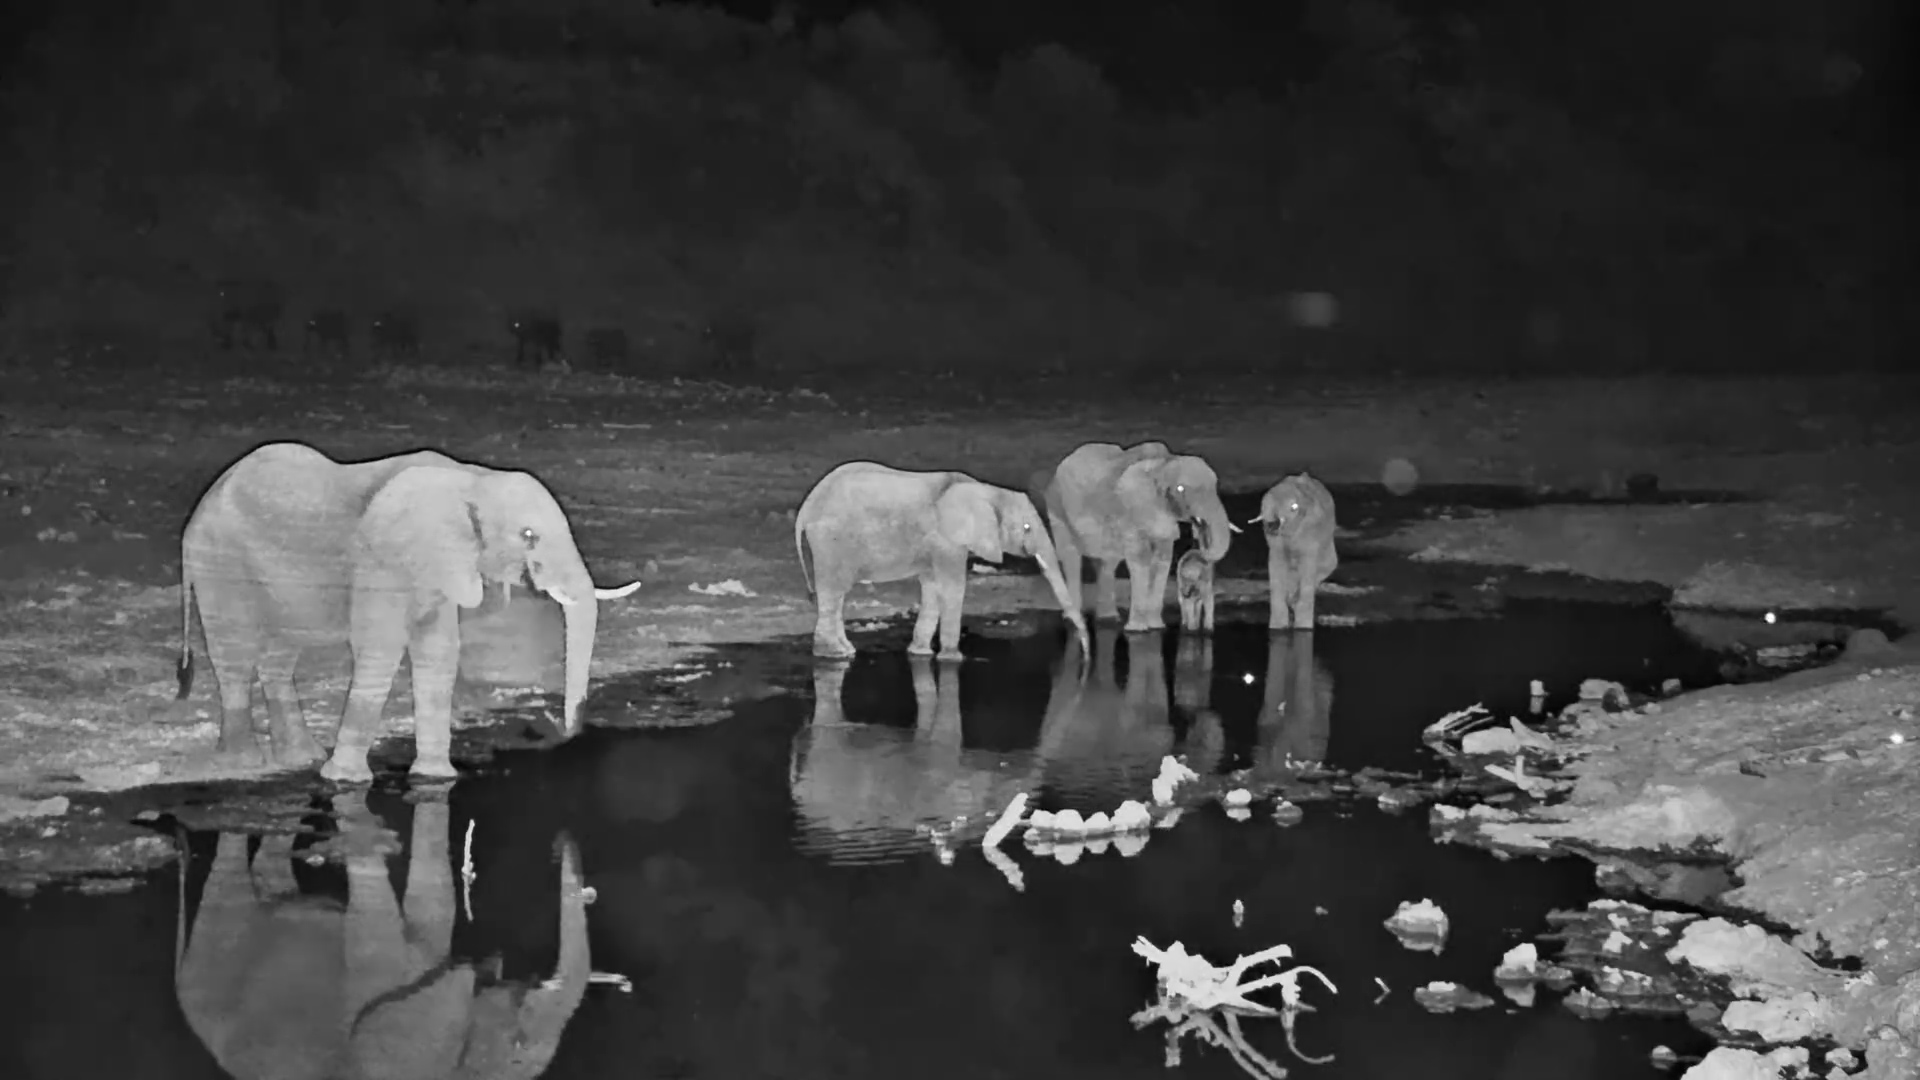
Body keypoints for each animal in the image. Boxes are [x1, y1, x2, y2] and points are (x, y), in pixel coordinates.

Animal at [176, 441, 641, 782]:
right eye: (528, 536)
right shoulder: (383, 561)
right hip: (218, 563)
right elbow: (379, 649)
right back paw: (245, 763)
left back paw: (300, 758)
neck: (472, 479)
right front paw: (344, 781)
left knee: (278, 656)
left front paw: (435, 779)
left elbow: (439, 654)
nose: (556, 729)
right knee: (234, 655)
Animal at [793, 460, 1088, 661]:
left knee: (836, 593)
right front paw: (953, 659)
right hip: (831, 540)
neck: (986, 490)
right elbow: (953, 587)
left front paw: (920, 654)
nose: (1085, 654)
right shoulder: (947, 539)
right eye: (1027, 528)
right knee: (834, 591)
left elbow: (933, 587)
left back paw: (845, 651)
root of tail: (805, 509)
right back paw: (836, 654)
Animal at [1039, 441, 1236, 633]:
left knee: (1107, 562)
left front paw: (1156, 627)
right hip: (1057, 508)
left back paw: (1109, 619)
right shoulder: (1131, 513)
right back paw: (1073, 621)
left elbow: (1162, 559)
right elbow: (1140, 558)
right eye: (1180, 489)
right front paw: (1137, 630)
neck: (1163, 463)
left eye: (1215, 486)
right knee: (1071, 556)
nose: (1199, 531)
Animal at [1254, 472, 1339, 631]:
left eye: (1294, 508)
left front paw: (1303, 626)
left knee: (1326, 567)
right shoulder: (1275, 545)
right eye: (1262, 504)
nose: (1272, 525)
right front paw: (1277, 627)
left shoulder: (1310, 535)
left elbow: (1308, 569)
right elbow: (1276, 567)